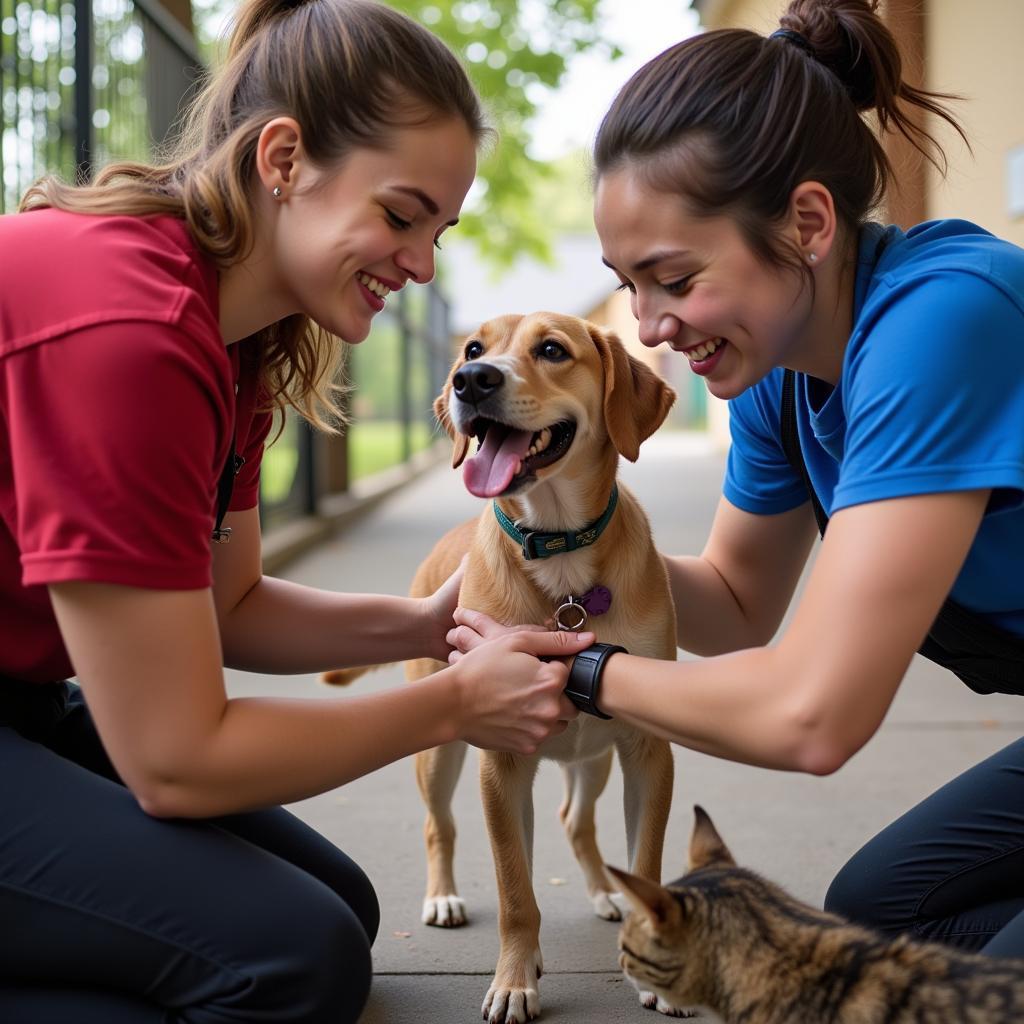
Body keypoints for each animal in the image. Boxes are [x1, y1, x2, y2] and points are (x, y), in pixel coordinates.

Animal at [329, 311, 679, 1024]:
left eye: (552, 349)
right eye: (472, 348)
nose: (472, 380)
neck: (561, 557)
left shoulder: (646, 751)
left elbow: (647, 862)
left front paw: (653, 965)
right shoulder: (501, 761)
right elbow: (516, 891)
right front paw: (517, 979)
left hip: (593, 756)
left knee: (576, 820)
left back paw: (604, 891)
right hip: (440, 751)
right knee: (440, 824)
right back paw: (443, 897)